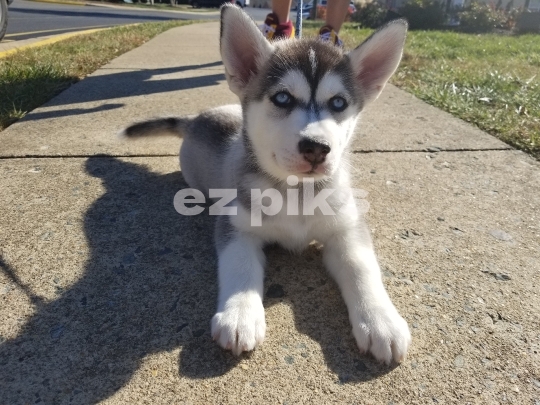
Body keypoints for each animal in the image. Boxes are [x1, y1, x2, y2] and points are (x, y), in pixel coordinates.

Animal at [122, 3, 410, 362]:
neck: (297, 193)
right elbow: (240, 265)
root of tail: (196, 119)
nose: (316, 147)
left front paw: (381, 321)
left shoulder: (347, 228)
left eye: (339, 103)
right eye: (283, 98)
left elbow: (362, 267)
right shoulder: (236, 226)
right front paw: (240, 315)